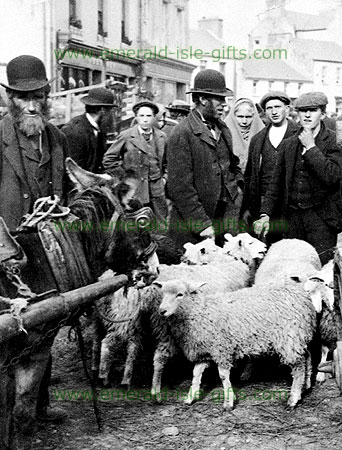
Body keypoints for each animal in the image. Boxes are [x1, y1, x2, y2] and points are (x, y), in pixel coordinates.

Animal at [159, 282, 316, 412]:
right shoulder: (204, 352)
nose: (161, 311)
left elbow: (223, 376)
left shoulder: (221, 349)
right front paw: (190, 397)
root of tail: (305, 297)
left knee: (298, 367)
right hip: (300, 336)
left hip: (290, 337)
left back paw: (293, 398)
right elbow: (196, 374)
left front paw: (228, 402)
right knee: (307, 356)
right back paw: (306, 386)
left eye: (180, 294)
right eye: (163, 294)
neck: (200, 312)